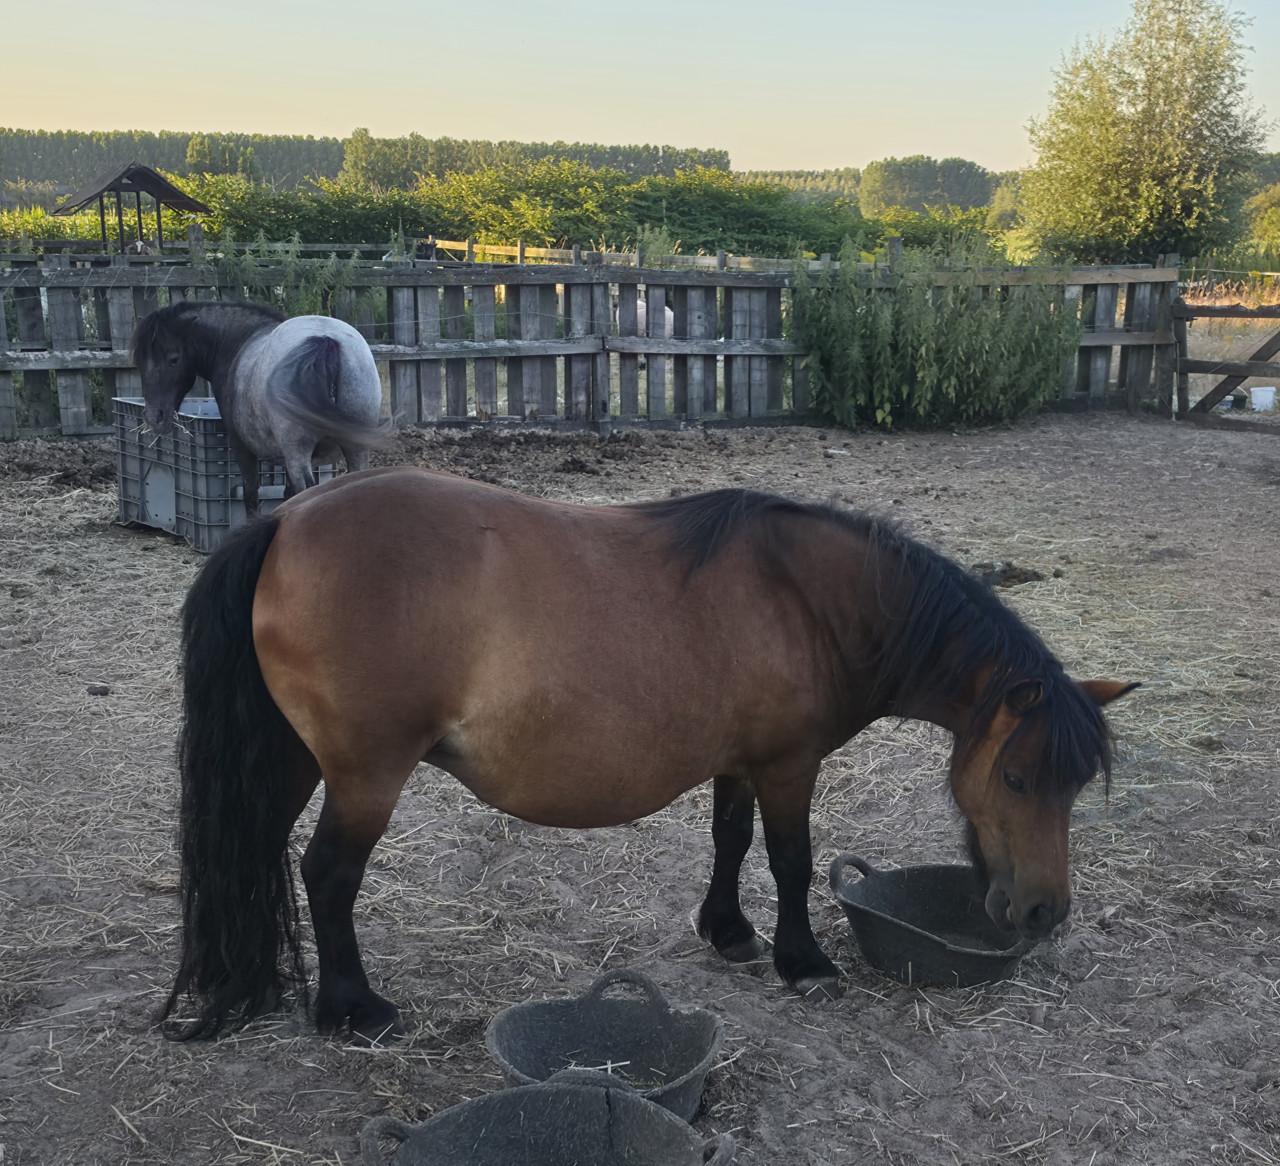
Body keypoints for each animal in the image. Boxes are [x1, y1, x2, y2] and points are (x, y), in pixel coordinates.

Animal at [131, 301, 389, 512]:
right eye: (140, 361)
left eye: (173, 359)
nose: (154, 417)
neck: (238, 341)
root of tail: (326, 340)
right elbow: (286, 494)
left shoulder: (242, 447)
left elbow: (251, 494)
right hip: (354, 448)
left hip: (298, 451)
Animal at [159, 471, 1137, 1042]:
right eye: (1017, 777)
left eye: (1076, 785)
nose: (1044, 911)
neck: (808, 599)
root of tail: (287, 520)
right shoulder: (789, 765)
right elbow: (791, 860)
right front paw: (803, 961)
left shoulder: (741, 761)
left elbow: (730, 843)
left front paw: (729, 932)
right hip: (366, 776)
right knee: (328, 874)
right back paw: (350, 1009)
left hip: (294, 763)